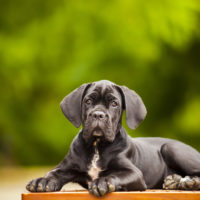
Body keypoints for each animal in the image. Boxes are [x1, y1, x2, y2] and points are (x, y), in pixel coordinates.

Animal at [26, 80, 200, 196]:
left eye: (114, 103)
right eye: (88, 101)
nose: (98, 114)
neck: (97, 146)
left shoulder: (134, 173)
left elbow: (114, 175)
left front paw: (102, 182)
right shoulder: (66, 167)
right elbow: (53, 173)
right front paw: (42, 181)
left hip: (171, 148)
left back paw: (188, 182)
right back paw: (175, 181)